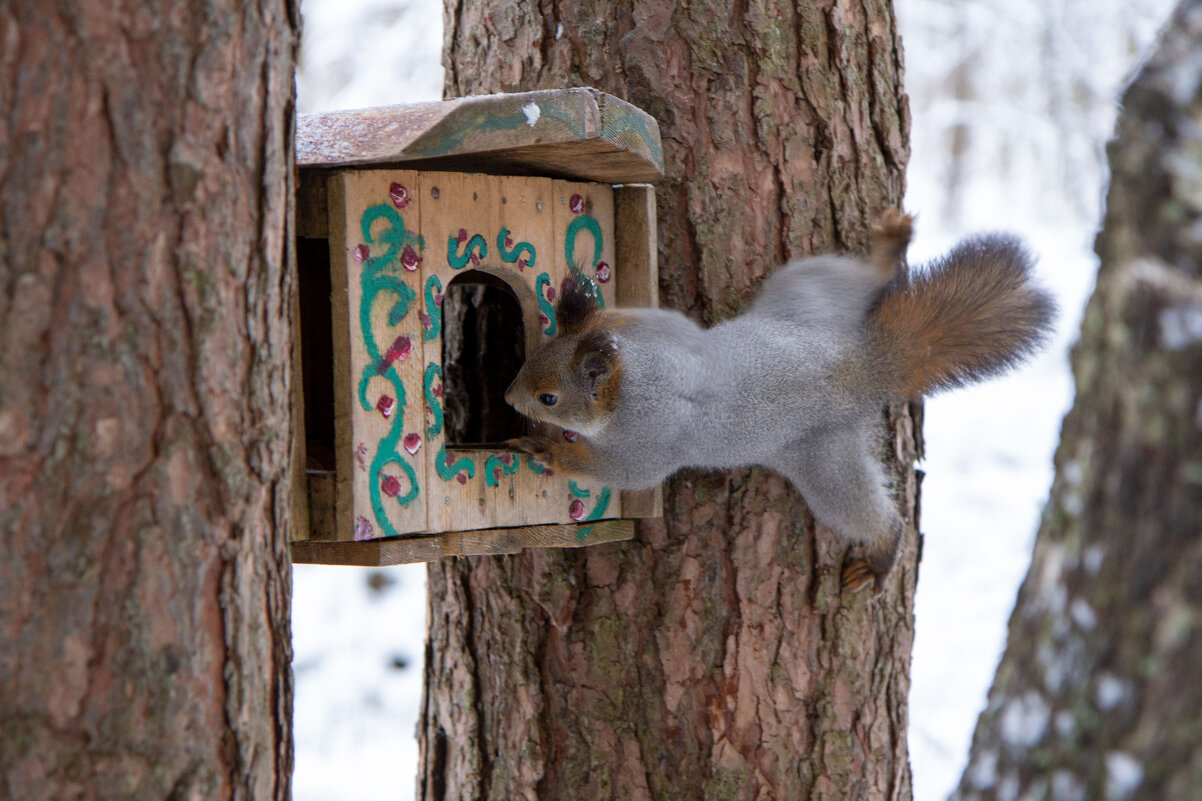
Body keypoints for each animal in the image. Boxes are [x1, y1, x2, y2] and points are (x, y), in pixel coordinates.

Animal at [502, 210, 1057, 586]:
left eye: (548, 398)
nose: (507, 397)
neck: (635, 377)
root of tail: (854, 367)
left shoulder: (644, 440)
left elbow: (620, 472)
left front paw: (549, 451)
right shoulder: (667, 335)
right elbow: (655, 319)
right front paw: (604, 316)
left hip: (825, 462)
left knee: (865, 512)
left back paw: (882, 554)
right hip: (808, 294)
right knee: (860, 278)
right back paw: (890, 246)